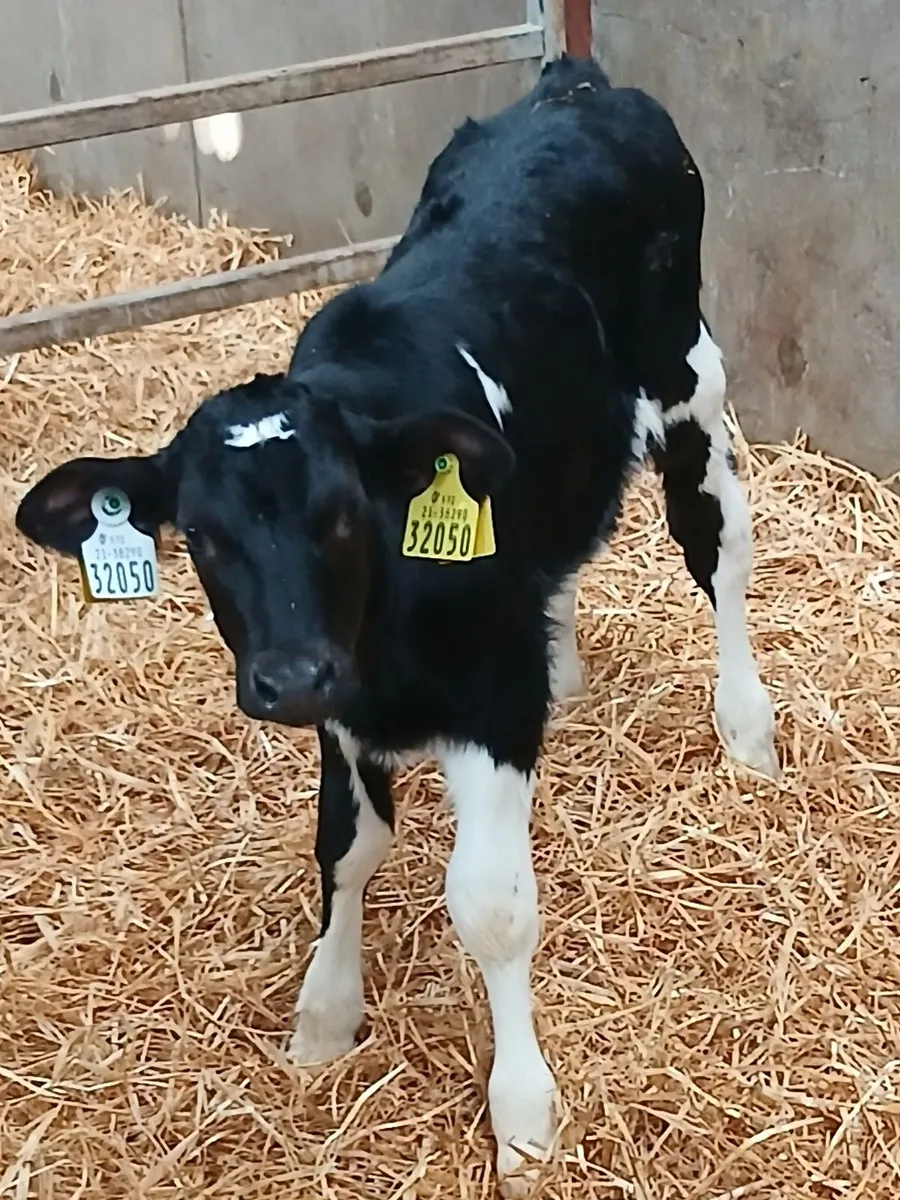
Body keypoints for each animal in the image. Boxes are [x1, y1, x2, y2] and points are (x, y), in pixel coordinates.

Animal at [15, 56, 777, 1194]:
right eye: (201, 535)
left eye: (342, 513)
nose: (288, 675)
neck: (386, 645)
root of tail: (574, 83)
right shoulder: (342, 710)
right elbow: (347, 845)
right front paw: (325, 1017)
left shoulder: (491, 707)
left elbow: (493, 904)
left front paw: (523, 1112)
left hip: (690, 377)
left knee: (715, 543)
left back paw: (747, 728)